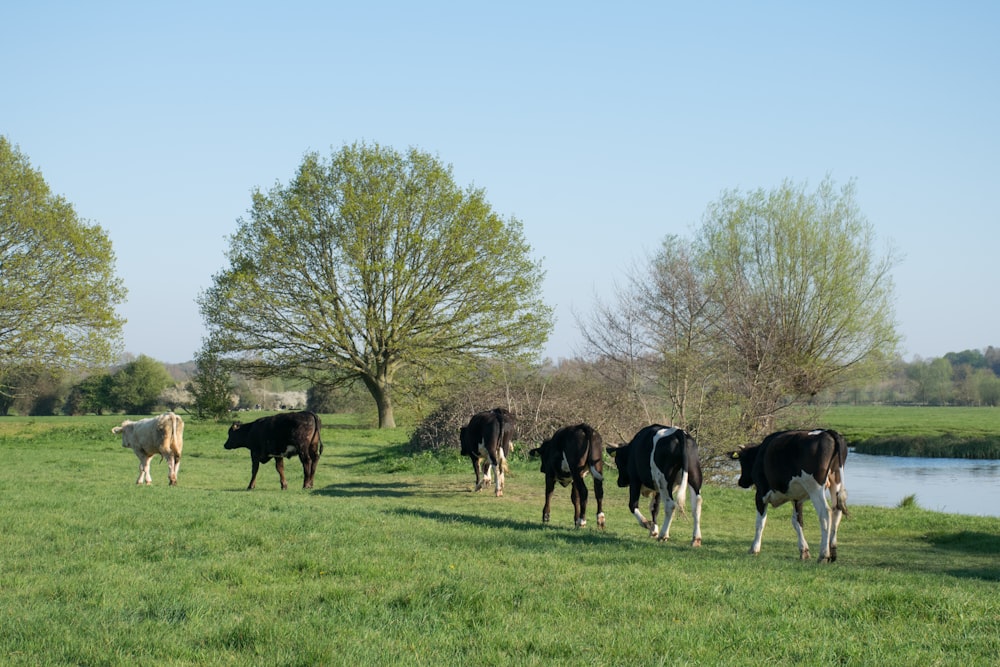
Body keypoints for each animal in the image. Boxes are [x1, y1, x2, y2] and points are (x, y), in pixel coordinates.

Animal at [728, 428, 852, 564]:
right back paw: (833, 553)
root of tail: (828, 432)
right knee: (837, 511)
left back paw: (824, 555)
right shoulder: (796, 498)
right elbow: (797, 522)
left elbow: (760, 522)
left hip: (815, 487)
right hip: (836, 481)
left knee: (825, 513)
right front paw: (804, 551)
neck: (760, 453)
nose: (741, 482)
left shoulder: (761, 493)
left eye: (742, 460)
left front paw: (754, 548)